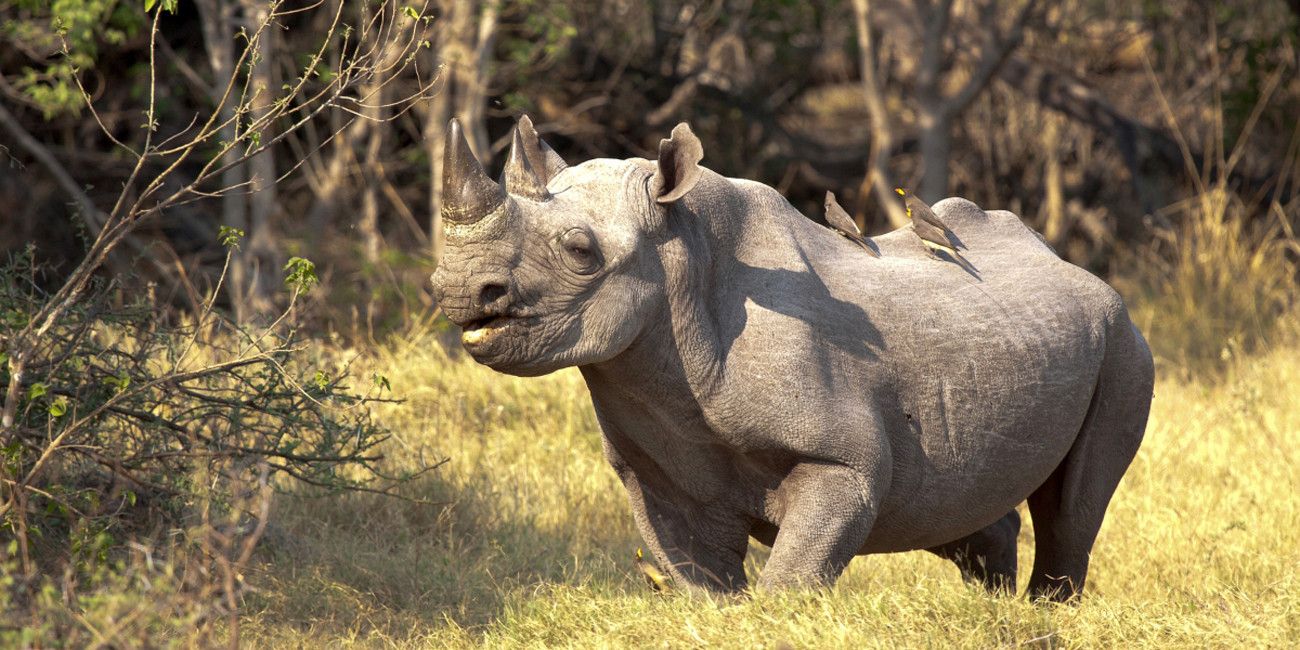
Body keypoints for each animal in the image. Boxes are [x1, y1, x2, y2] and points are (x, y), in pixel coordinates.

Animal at [429, 117, 1154, 600]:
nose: (457, 288)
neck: (682, 263)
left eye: (580, 251)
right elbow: (702, 583)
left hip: (1124, 340)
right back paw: (991, 609)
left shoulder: (842, 461)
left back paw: (1044, 610)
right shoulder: (656, 471)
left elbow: (790, 580)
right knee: (961, 509)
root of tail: (1072, 265)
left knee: (1073, 512)